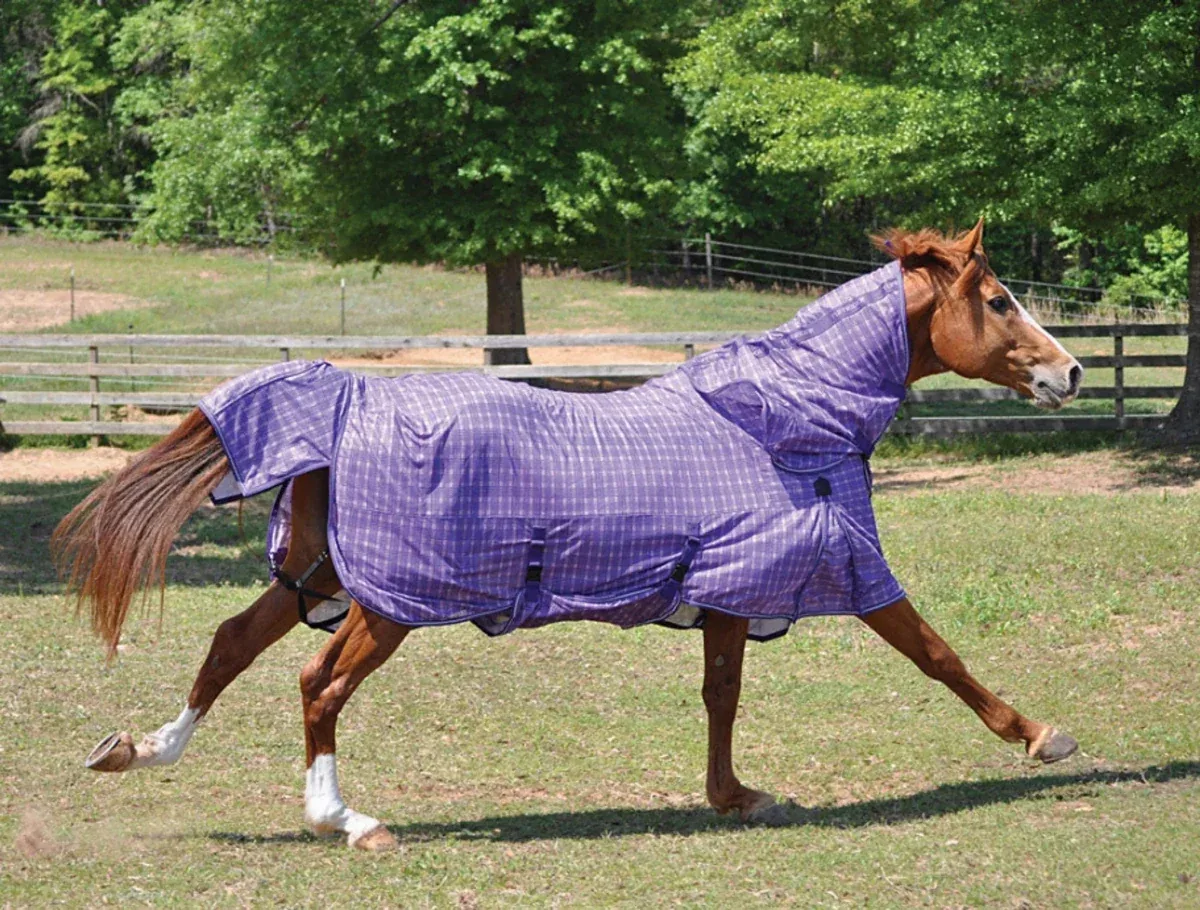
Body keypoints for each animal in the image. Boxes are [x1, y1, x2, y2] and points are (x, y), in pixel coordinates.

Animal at [54, 220, 1084, 852]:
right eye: (1000, 301)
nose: (1069, 372)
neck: (780, 421)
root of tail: (345, 404)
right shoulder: (843, 573)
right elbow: (938, 654)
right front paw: (1042, 736)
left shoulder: (726, 591)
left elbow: (720, 695)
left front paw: (734, 797)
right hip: (391, 601)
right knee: (319, 683)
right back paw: (345, 820)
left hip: (320, 578)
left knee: (230, 645)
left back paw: (140, 750)